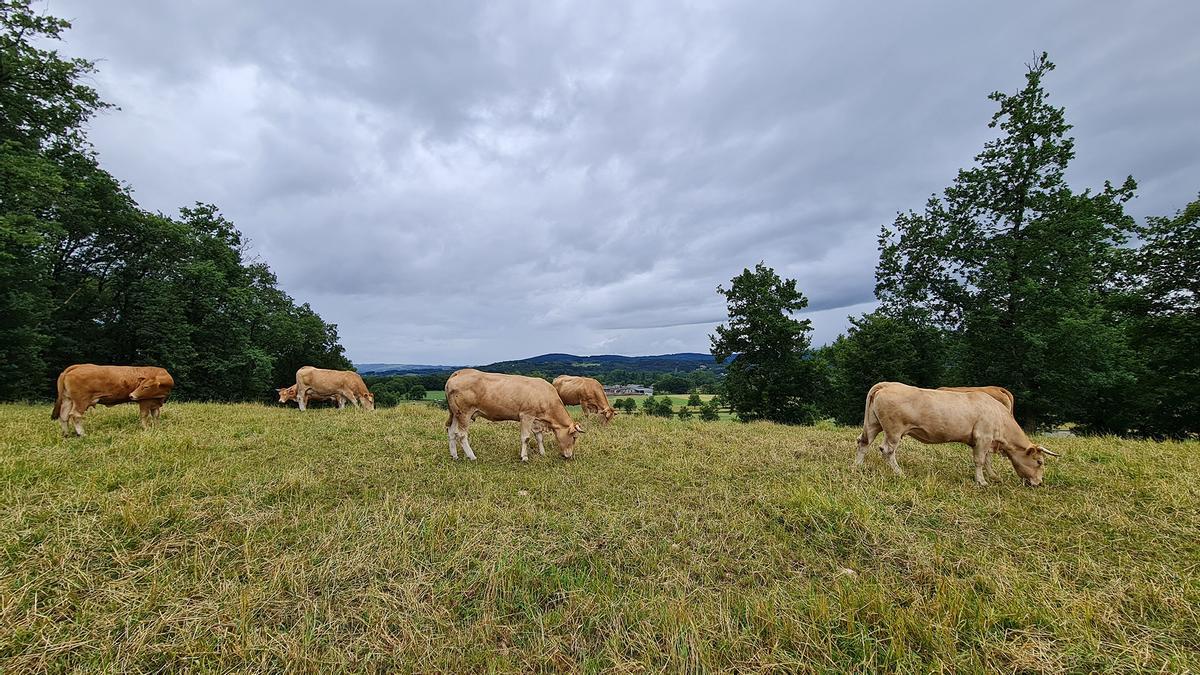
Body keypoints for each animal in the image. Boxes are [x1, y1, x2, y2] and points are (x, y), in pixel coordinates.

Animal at [445, 368, 584, 461]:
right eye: (574, 437)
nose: (569, 456)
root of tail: (460, 372)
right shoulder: (526, 415)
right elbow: (526, 437)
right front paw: (524, 457)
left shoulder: (536, 419)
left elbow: (539, 437)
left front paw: (542, 453)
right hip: (465, 413)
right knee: (462, 435)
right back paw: (472, 456)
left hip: (456, 413)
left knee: (451, 432)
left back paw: (454, 456)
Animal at [855, 382, 1058, 486]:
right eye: (1040, 462)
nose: (1039, 483)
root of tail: (887, 384)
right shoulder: (983, 437)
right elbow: (980, 460)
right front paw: (982, 481)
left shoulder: (988, 441)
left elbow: (988, 460)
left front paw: (993, 476)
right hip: (894, 430)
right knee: (887, 450)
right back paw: (900, 473)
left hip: (873, 424)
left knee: (863, 442)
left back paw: (857, 467)